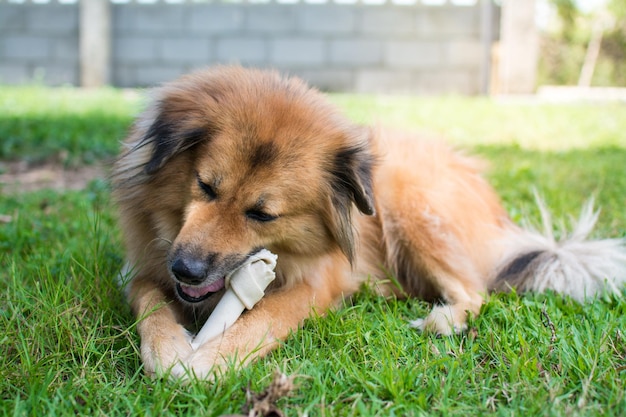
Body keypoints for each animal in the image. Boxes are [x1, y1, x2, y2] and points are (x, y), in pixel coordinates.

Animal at [112, 64, 624, 376]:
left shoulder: (316, 283)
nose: (186, 271)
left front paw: (208, 361)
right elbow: (149, 302)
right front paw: (169, 349)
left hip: (408, 201)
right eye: (205, 186)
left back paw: (441, 320)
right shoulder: (142, 269)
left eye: (262, 214)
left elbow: (268, 316)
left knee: (475, 291)